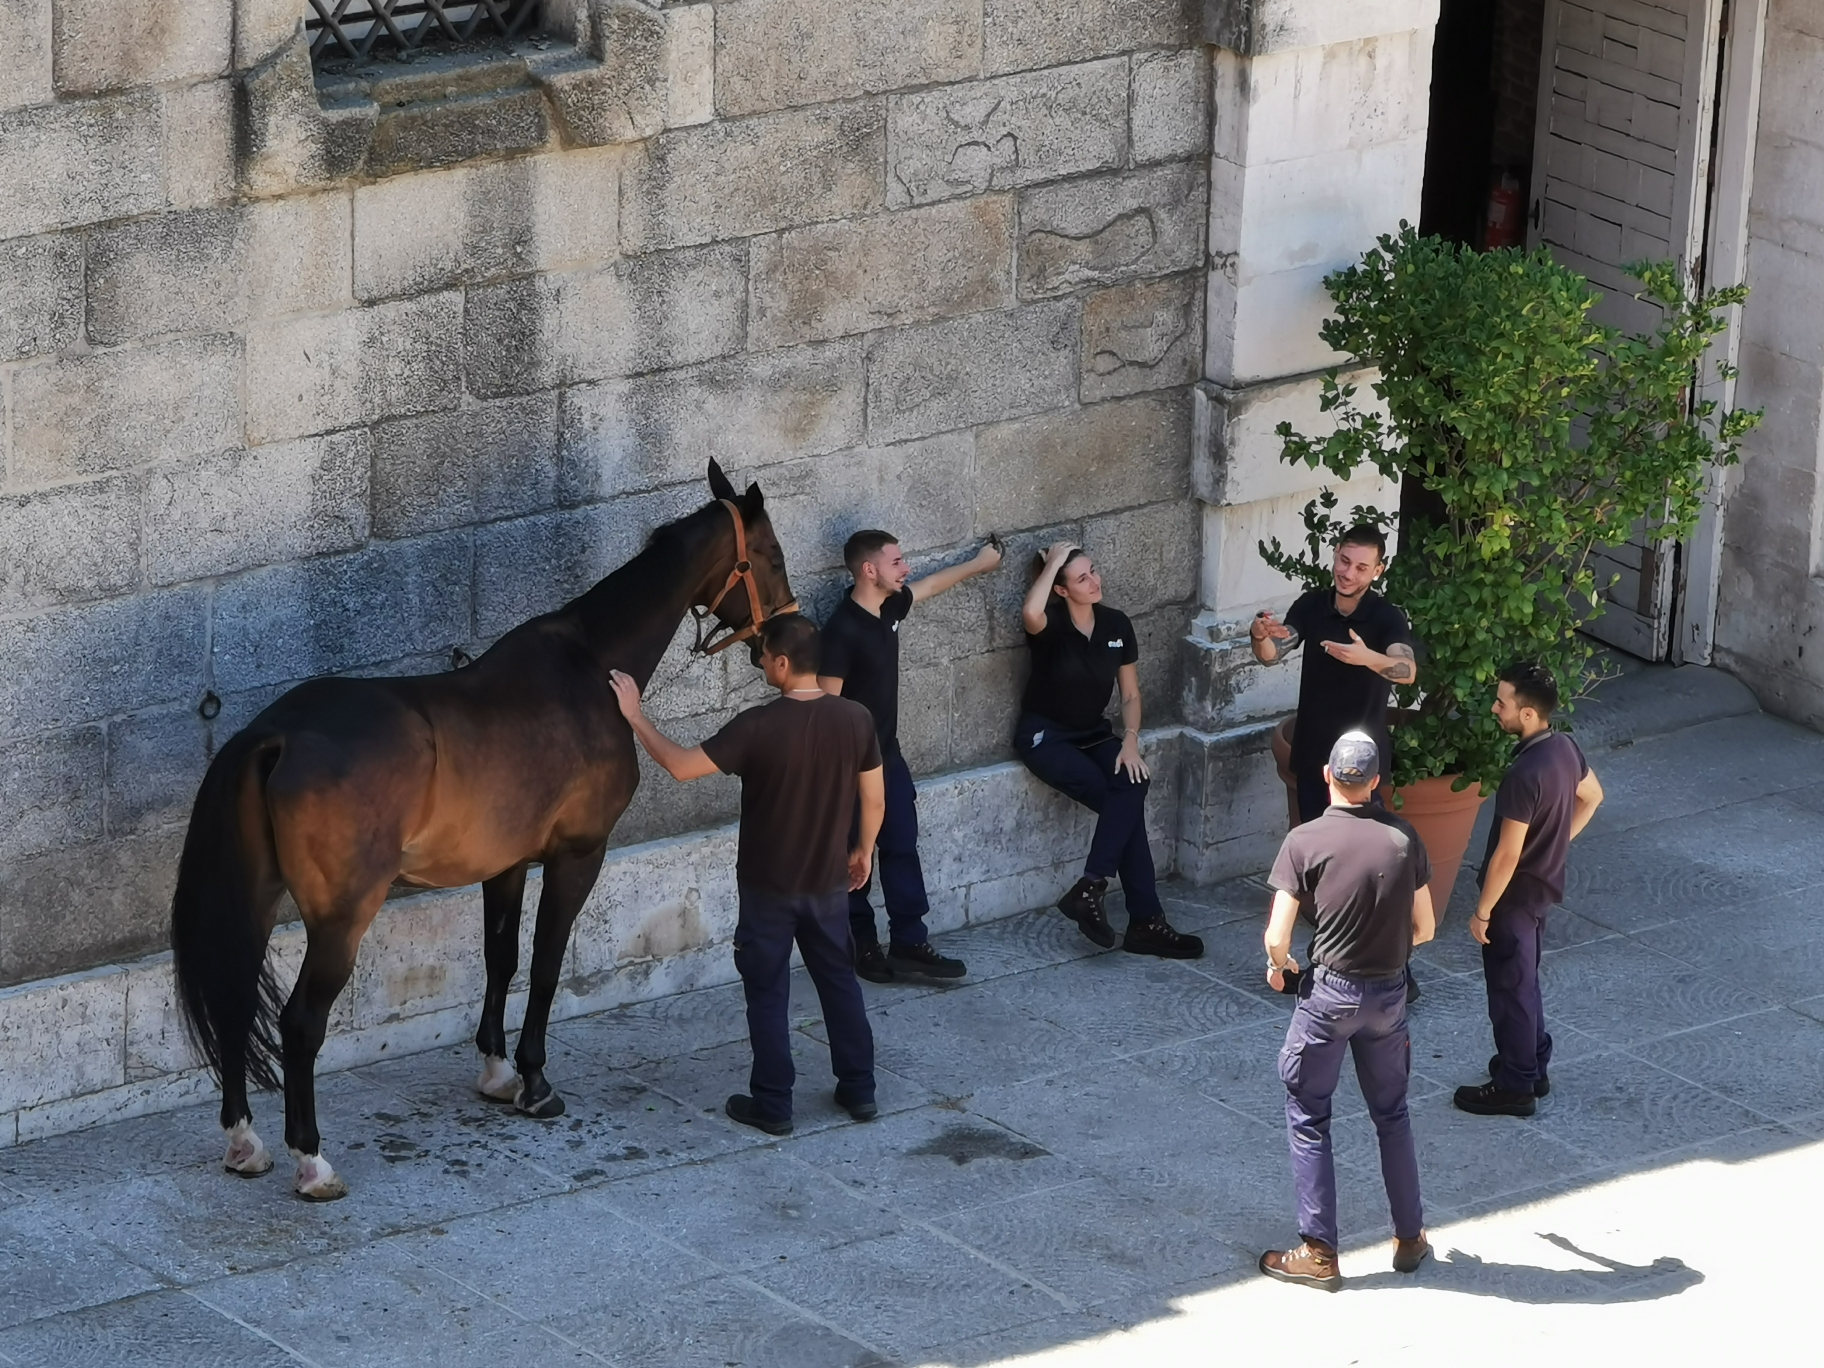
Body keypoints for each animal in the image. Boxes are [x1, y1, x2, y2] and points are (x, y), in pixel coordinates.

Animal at [171, 466, 791, 1203]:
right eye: (772, 555)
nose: (785, 633)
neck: (590, 664)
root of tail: (275, 735)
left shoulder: (507, 863)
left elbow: (503, 958)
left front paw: (496, 1072)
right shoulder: (578, 855)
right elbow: (547, 963)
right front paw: (535, 1081)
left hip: (260, 901)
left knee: (236, 1001)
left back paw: (245, 1142)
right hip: (341, 918)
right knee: (299, 1024)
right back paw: (312, 1160)